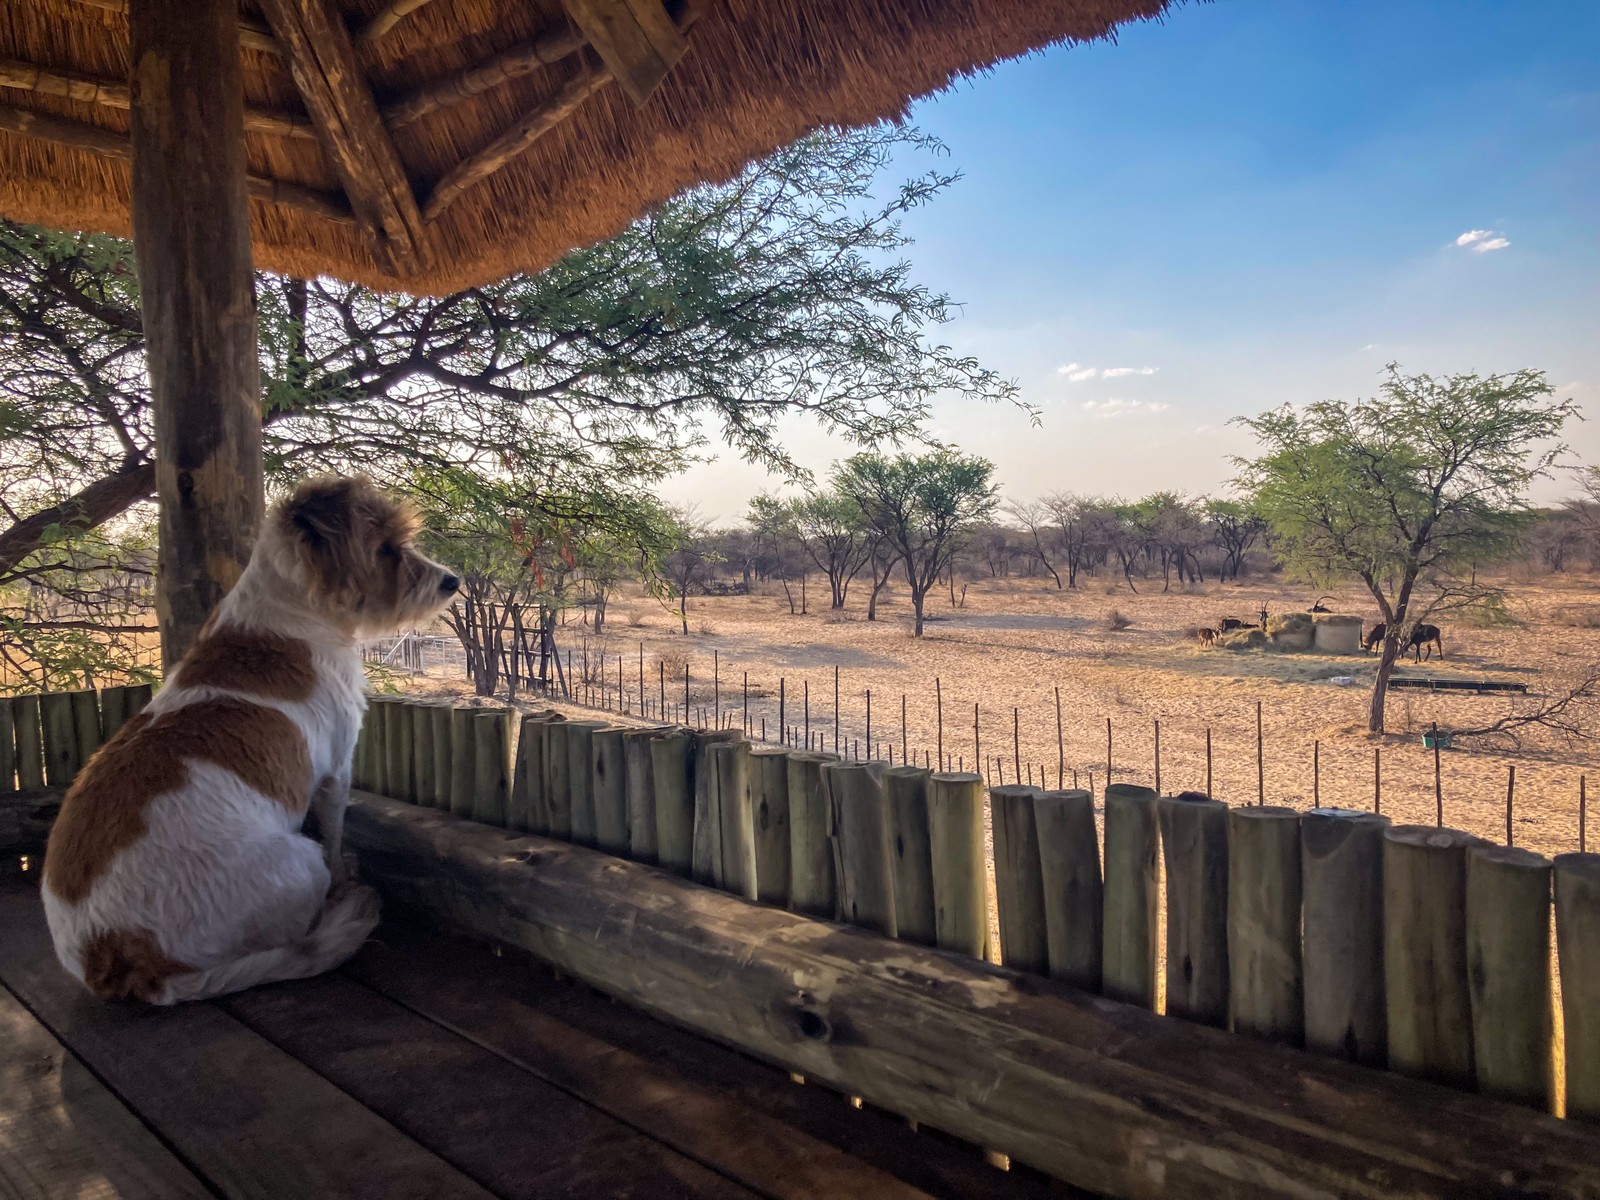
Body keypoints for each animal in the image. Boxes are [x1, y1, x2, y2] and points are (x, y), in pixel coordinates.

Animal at [45, 480, 457, 1004]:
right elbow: (336, 833)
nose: (452, 581)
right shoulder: (336, 771)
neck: (292, 612)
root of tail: (119, 957)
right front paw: (347, 877)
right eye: (387, 548)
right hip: (300, 862)